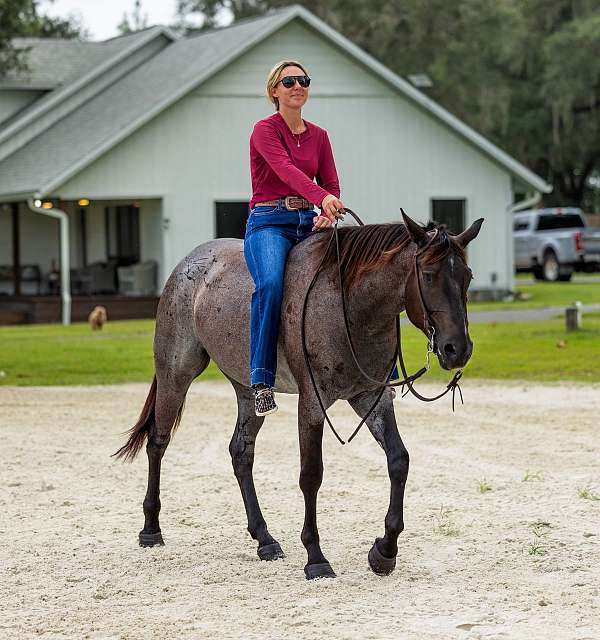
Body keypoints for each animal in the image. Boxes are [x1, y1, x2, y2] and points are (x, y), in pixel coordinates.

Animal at [114, 211, 483, 579]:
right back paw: (151, 529)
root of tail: (187, 265)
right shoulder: (312, 403)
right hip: (176, 374)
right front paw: (316, 557)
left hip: (248, 392)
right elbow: (311, 475)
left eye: (467, 276)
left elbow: (399, 461)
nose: (458, 349)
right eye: (429, 275)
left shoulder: (371, 397)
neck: (349, 305)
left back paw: (264, 539)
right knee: (158, 441)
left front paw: (384, 551)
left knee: (241, 453)